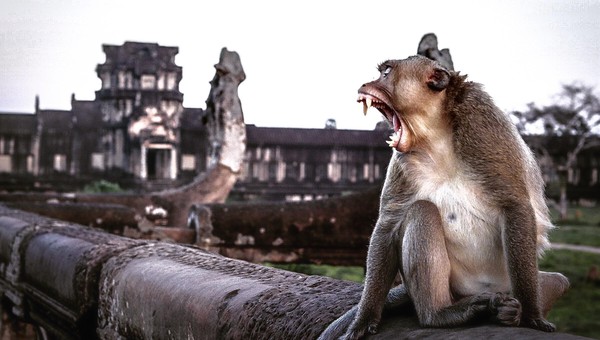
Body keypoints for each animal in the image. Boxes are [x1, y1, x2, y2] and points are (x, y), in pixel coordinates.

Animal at [318, 55, 568, 340]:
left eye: (386, 72)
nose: (365, 84)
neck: (436, 135)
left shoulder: (484, 127)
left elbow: (515, 205)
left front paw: (531, 317)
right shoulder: (402, 162)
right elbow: (388, 225)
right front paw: (364, 318)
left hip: (506, 285)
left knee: (558, 282)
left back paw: (507, 312)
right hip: (456, 289)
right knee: (422, 210)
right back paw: (442, 314)